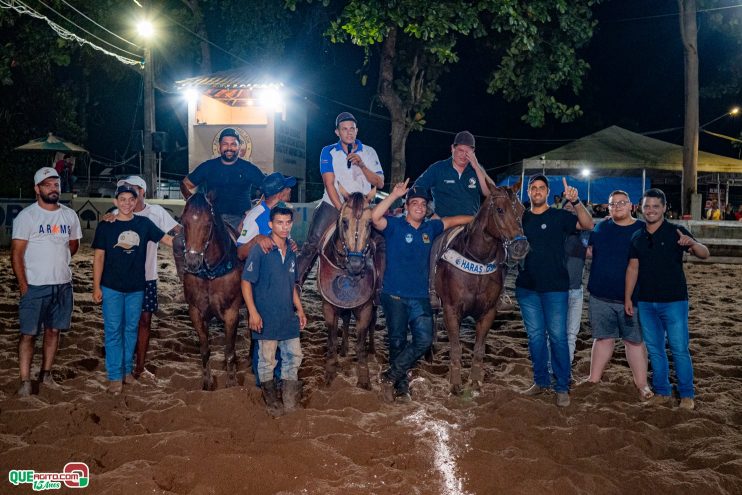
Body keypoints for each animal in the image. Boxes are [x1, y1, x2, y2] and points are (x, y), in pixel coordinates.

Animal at [180, 194, 241, 392]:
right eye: (183, 222)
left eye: (208, 224)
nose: (192, 262)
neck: (210, 274)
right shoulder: (195, 312)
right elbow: (205, 350)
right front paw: (207, 382)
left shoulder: (231, 313)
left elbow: (229, 350)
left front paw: (232, 383)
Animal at [318, 188, 380, 390]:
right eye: (344, 221)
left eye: (370, 223)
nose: (355, 264)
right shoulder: (329, 307)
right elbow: (332, 338)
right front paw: (330, 371)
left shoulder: (365, 308)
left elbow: (360, 342)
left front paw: (364, 378)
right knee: (344, 321)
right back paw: (343, 350)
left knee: (372, 325)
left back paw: (372, 349)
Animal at [434, 182, 532, 396]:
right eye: (500, 209)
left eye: (522, 211)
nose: (521, 246)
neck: (478, 261)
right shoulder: (451, 310)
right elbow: (456, 348)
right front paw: (455, 384)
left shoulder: (488, 312)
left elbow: (479, 348)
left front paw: (475, 382)